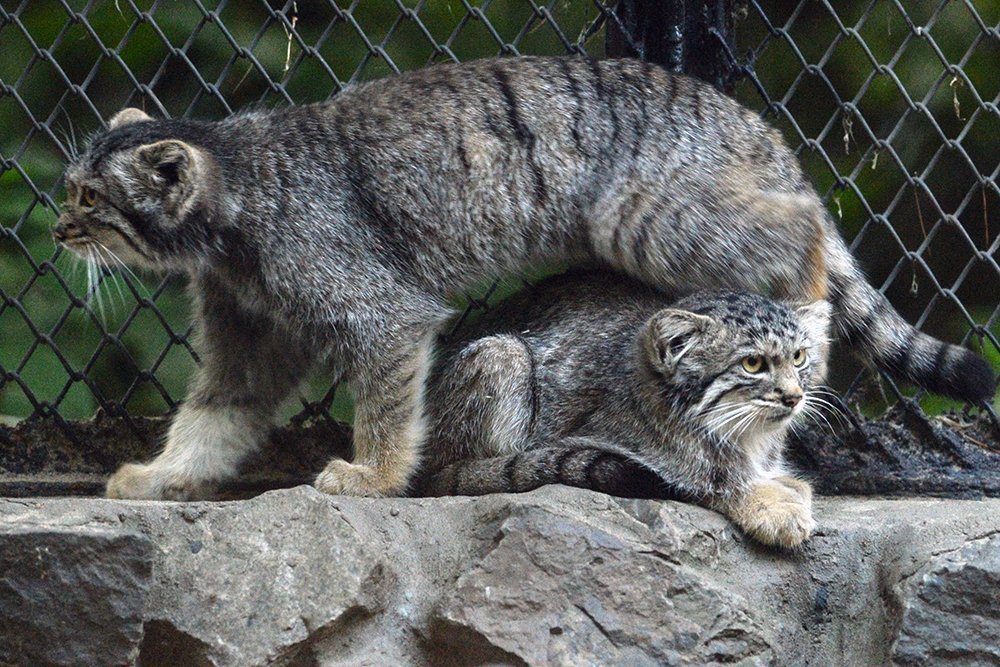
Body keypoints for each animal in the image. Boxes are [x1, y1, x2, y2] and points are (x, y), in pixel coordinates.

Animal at [54, 57, 992, 498]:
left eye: (92, 199)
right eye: (71, 188)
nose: (57, 228)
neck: (235, 201)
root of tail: (750, 121)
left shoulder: (376, 308)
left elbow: (388, 404)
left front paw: (376, 476)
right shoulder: (248, 330)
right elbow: (214, 416)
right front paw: (165, 475)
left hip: (653, 214)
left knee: (802, 230)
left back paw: (808, 327)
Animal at [414, 272, 828, 548]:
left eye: (799, 357)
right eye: (753, 364)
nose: (794, 397)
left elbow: (795, 482)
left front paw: (787, 490)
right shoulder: (603, 446)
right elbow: (709, 482)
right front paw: (774, 508)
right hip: (501, 354)